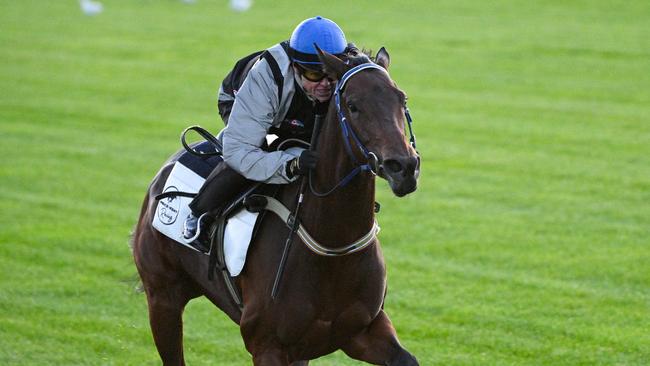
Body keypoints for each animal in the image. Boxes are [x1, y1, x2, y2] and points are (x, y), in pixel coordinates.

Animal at [132, 47, 420, 364]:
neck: (332, 246)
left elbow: (405, 358)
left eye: (402, 99)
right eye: (353, 105)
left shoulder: (362, 331)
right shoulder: (268, 345)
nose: (403, 167)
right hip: (163, 297)